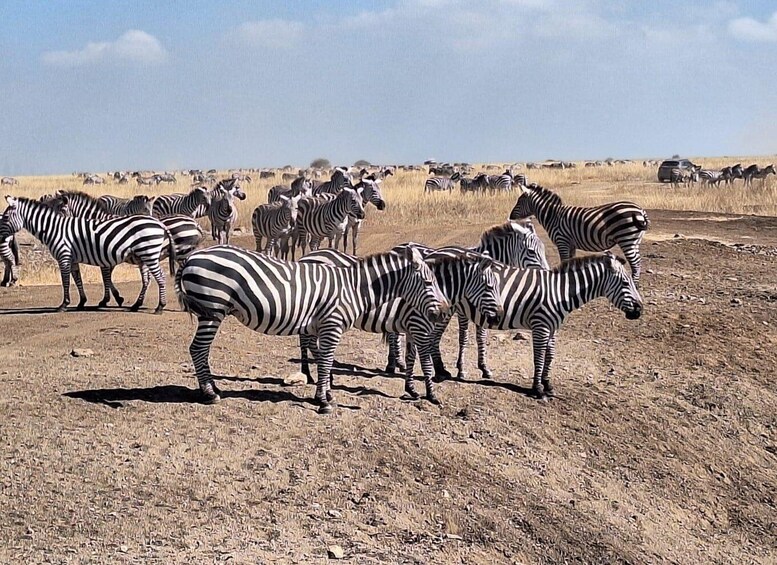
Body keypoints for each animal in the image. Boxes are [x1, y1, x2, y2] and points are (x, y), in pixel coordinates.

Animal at [1, 196, 174, 312]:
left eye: (6, 217)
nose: (1, 237)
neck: (55, 229)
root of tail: (159, 223)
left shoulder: (64, 256)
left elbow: (66, 281)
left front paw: (64, 304)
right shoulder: (73, 259)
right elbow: (79, 280)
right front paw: (82, 302)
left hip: (149, 254)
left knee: (160, 277)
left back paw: (160, 307)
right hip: (143, 256)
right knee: (148, 279)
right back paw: (137, 305)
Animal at [172, 242, 446, 410]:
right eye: (428, 282)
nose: (443, 311)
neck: (353, 288)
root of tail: (192, 257)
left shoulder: (321, 326)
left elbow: (323, 359)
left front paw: (323, 393)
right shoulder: (332, 325)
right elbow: (325, 361)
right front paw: (324, 401)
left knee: (200, 351)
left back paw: (213, 387)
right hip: (212, 310)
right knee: (198, 350)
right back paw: (209, 394)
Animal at [298, 249, 504, 404]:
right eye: (489, 287)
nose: (500, 316)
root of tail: (306, 256)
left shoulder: (412, 328)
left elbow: (411, 358)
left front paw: (411, 389)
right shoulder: (419, 327)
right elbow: (426, 363)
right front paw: (431, 394)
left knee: (310, 343)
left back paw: (320, 376)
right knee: (307, 342)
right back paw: (312, 375)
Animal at [464, 253, 640, 398]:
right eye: (625, 283)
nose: (640, 309)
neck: (559, 293)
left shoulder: (553, 327)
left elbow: (550, 355)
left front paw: (547, 383)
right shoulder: (540, 326)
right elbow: (539, 357)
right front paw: (537, 389)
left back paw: (481, 370)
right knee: (463, 338)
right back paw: (461, 372)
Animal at [510, 183, 648, 284]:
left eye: (519, 201)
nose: (510, 216)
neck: (553, 216)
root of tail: (640, 210)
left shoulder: (562, 241)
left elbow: (564, 261)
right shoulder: (570, 244)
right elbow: (570, 262)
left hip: (626, 239)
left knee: (635, 265)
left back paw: (634, 285)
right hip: (634, 241)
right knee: (638, 262)